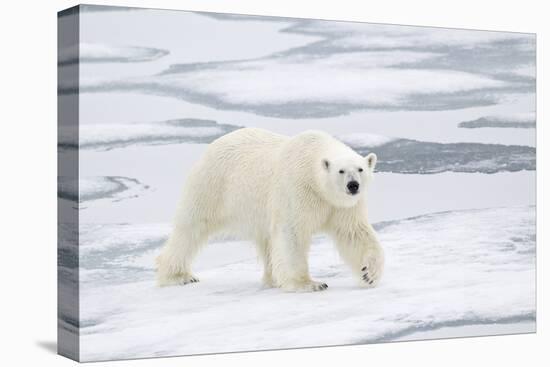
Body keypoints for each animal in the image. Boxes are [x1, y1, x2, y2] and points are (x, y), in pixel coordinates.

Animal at [157, 128, 386, 292]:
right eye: (341, 171)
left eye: (360, 169)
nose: (353, 185)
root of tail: (212, 146)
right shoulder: (297, 189)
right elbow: (292, 233)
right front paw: (309, 283)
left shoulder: (340, 206)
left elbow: (354, 233)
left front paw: (369, 273)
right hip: (213, 186)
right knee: (190, 229)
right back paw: (179, 276)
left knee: (267, 241)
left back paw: (273, 278)